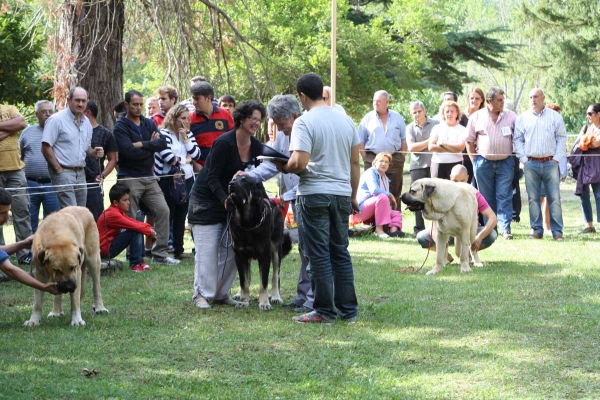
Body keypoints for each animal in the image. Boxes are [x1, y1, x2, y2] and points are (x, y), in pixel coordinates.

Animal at [226, 177, 292, 310]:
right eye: (233, 179)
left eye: (245, 181)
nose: (231, 184)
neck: (247, 224)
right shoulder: (240, 256)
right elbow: (243, 281)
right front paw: (244, 301)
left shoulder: (264, 256)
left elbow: (264, 283)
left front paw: (264, 303)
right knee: (248, 276)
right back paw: (239, 294)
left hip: (276, 250)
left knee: (275, 276)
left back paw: (276, 296)